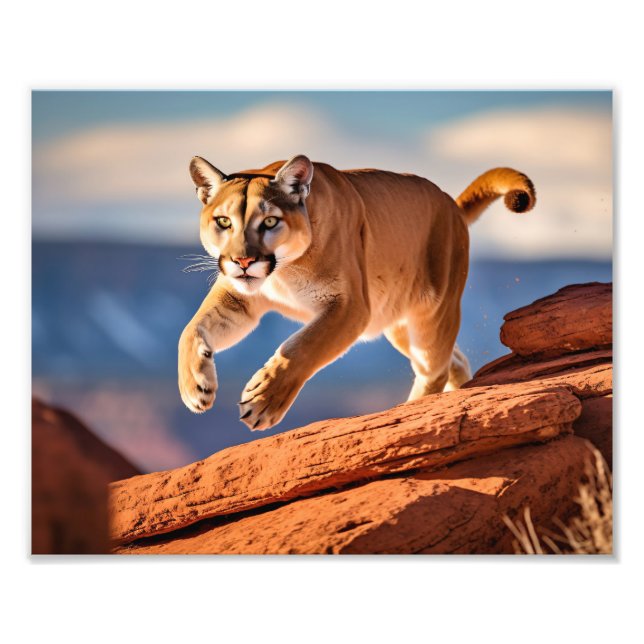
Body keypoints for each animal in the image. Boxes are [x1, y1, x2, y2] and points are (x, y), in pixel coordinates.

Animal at [178, 155, 535, 430]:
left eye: (269, 221)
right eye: (223, 221)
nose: (243, 261)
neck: (283, 272)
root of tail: (451, 204)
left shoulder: (351, 306)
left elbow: (302, 348)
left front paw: (264, 401)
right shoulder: (237, 297)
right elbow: (191, 330)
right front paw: (195, 388)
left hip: (433, 313)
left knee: (434, 368)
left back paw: (409, 414)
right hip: (398, 323)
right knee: (453, 359)